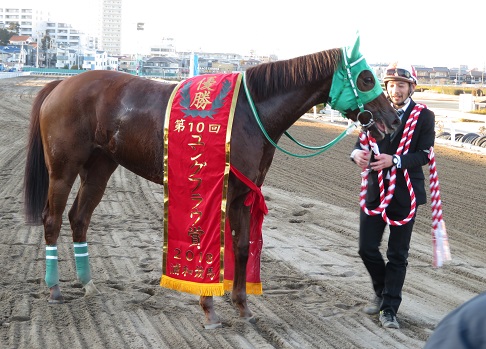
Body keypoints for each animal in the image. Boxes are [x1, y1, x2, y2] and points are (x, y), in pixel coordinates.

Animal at [22, 39, 400, 328]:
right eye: (367, 77)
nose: (394, 119)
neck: (250, 113)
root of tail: (60, 85)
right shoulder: (217, 191)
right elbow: (208, 247)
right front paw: (209, 309)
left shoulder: (244, 194)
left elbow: (242, 247)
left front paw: (243, 307)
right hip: (63, 168)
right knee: (52, 219)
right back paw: (54, 289)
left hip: (100, 167)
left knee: (79, 218)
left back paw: (87, 283)